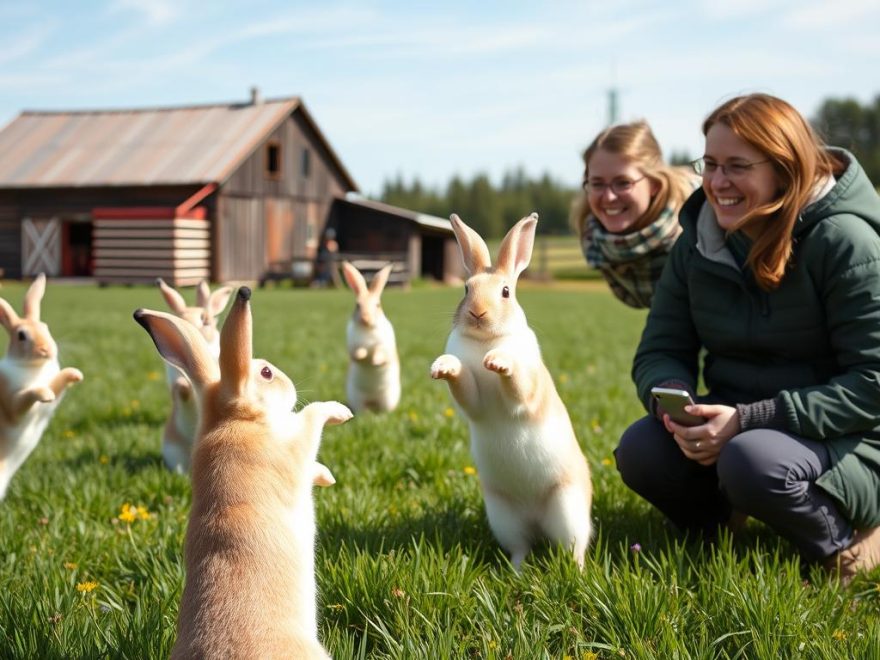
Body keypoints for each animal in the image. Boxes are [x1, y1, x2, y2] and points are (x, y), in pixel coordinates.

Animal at [0, 274, 83, 500]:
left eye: (45, 327)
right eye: (21, 335)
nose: (46, 349)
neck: (33, 367)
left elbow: (57, 385)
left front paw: (76, 374)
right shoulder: (13, 405)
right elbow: (26, 396)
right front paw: (44, 393)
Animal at [134, 286, 350, 656]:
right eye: (266, 374)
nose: (289, 382)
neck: (233, 419)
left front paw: (326, 475)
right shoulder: (291, 450)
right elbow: (310, 419)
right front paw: (339, 411)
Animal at [342, 262, 400, 412]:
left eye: (378, 305)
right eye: (357, 305)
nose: (366, 319)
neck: (368, 329)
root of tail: (373, 402)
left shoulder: (384, 347)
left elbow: (381, 354)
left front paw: (375, 361)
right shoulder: (354, 346)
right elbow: (358, 352)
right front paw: (362, 356)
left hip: (387, 399)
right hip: (357, 398)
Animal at [432, 214, 596, 568]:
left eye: (506, 291)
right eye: (466, 288)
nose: (477, 313)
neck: (487, 339)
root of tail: (535, 517)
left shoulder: (527, 394)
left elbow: (518, 387)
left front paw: (498, 361)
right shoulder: (474, 403)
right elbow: (465, 387)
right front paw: (444, 366)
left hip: (567, 508)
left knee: (574, 547)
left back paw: (576, 572)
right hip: (504, 516)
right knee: (521, 547)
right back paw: (515, 571)